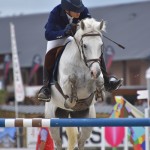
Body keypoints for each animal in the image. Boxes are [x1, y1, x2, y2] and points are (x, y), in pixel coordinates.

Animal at [45, 17, 106, 150]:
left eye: (101, 45)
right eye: (85, 45)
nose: (95, 71)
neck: (82, 62)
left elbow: (99, 82)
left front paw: (100, 92)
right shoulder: (64, 83)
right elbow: (71, 81)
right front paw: (70, 101)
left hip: (87, 119)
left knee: (81, 141)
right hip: (52, 120)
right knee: (58, 142)